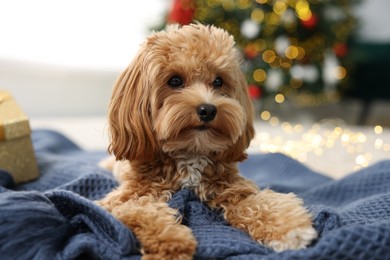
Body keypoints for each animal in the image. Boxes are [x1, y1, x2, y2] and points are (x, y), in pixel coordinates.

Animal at [97, 23, 316, 258]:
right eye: (175, 81)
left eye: (218, 81)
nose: (208, 109)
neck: (190, 152)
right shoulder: (122, 199)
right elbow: (142, 211)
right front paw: (171, 241)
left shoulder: (234, 189)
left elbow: (261, 202)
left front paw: (289, 228)